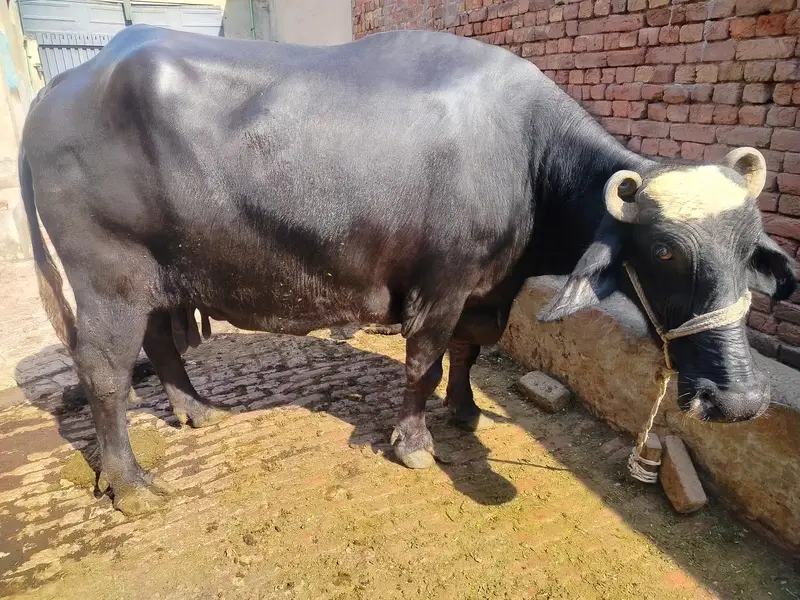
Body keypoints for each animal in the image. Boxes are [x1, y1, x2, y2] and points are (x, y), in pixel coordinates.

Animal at [20, 25, 795, 516]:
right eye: (663, 252)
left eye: (750, 246)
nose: (740, 401)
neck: (525, 156)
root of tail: (59, 91)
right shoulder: (441, 285)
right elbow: (423, 358)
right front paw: (416, 442)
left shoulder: (489, 287)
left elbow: (469, 350)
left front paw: (465, 410)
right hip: (109, 277)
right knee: (104, 371)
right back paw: (129, 484)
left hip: (158, 275)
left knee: (158, 341)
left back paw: (196, 409)